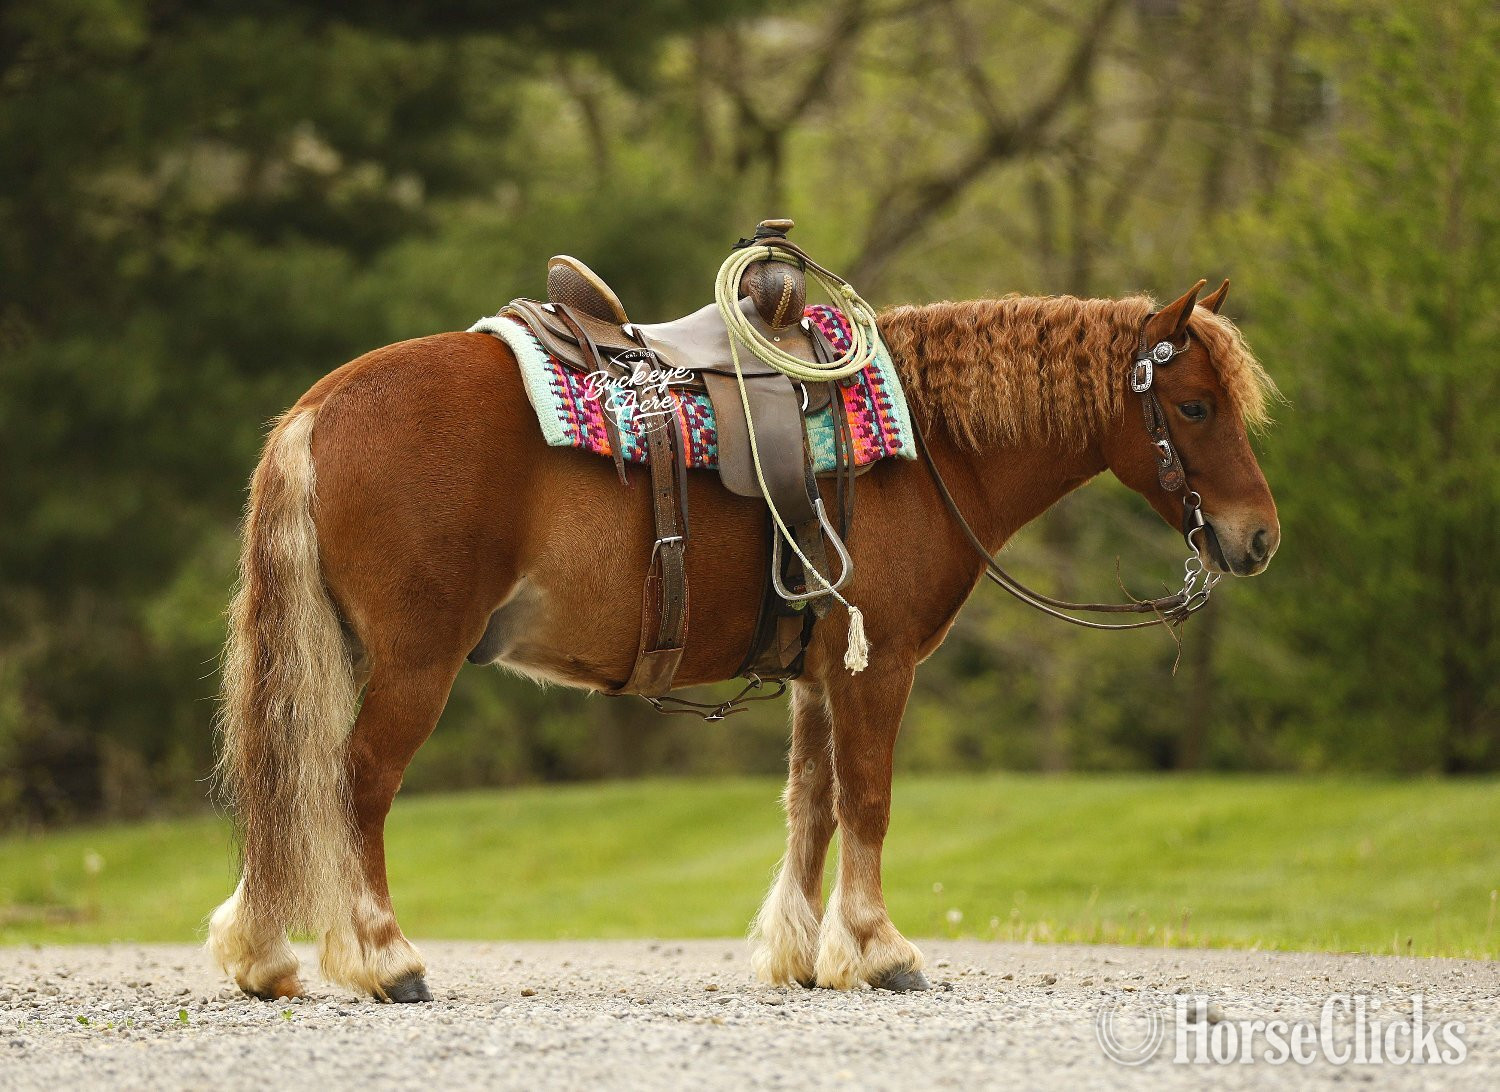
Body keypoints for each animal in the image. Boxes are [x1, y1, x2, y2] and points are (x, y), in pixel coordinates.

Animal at [206, 278, 1279, 1002]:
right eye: (1193, 406)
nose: (1258, 537)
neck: (926, 445)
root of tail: (321, 406)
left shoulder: (818, 673)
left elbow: (813, 806)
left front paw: (802, 953)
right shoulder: (880, 665)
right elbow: (870, 799)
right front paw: (878, 948)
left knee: (293, 781)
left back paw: (266, 954)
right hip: (416, 661)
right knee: (357, 784)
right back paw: (386, 958)